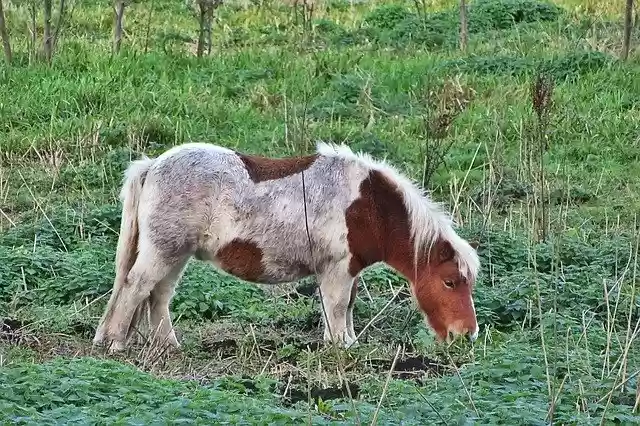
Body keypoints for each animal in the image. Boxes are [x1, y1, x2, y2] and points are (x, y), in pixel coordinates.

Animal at [93, 141, 481, 353]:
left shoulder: (348, 271)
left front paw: (346, 342)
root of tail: (152, 165)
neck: (369, 206)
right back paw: (115, 342)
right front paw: (341, 347)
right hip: (163, 251)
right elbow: (337, 307)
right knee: (135, 287)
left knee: (158, 296)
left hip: (175, 254)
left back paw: (168, 345)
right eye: (450, 282)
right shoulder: (337, 269)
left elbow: (346, 308)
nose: (467, 334)